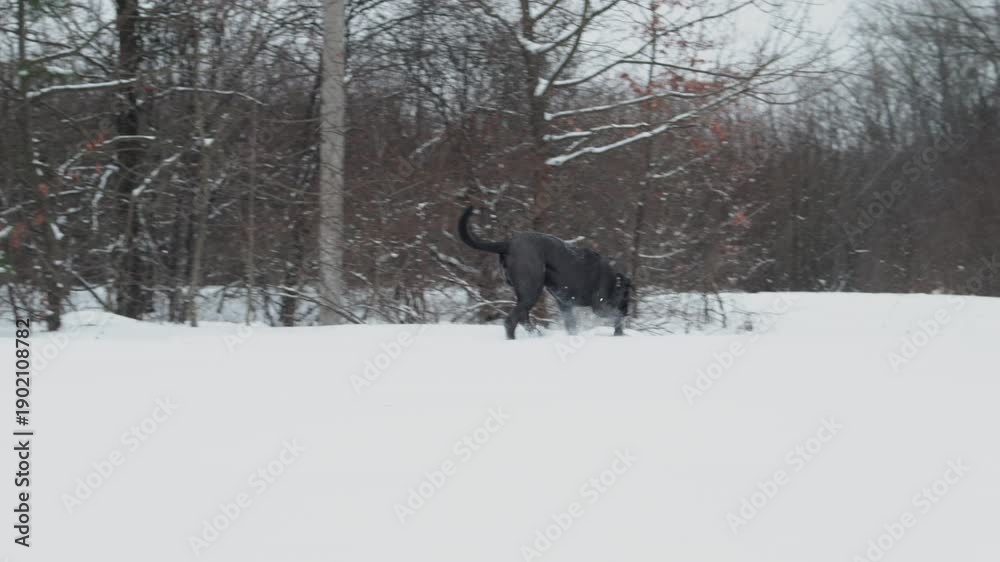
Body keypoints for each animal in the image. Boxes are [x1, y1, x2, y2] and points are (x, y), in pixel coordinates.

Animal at [458, 207, 632, 339]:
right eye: (626, 296)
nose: (627, 311)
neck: (614, 280)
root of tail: (508, 244)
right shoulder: (600, 306)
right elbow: (616, 316)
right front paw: (620, 333)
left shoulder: (565, 305)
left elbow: (572, 326)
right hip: (532, 290)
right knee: (511, 321)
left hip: (526, 294)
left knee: (523, 318)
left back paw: (538, 336)